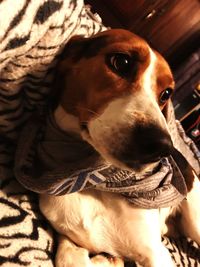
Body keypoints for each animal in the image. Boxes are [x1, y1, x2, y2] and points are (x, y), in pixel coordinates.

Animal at [39, 29, 200, 267]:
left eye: (166, 94)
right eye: (122, 62)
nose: (162, 146)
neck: (95, 183)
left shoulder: (157, 255)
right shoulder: (68, 234)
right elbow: (70, 257)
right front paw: (106, 260)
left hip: (194, 221)